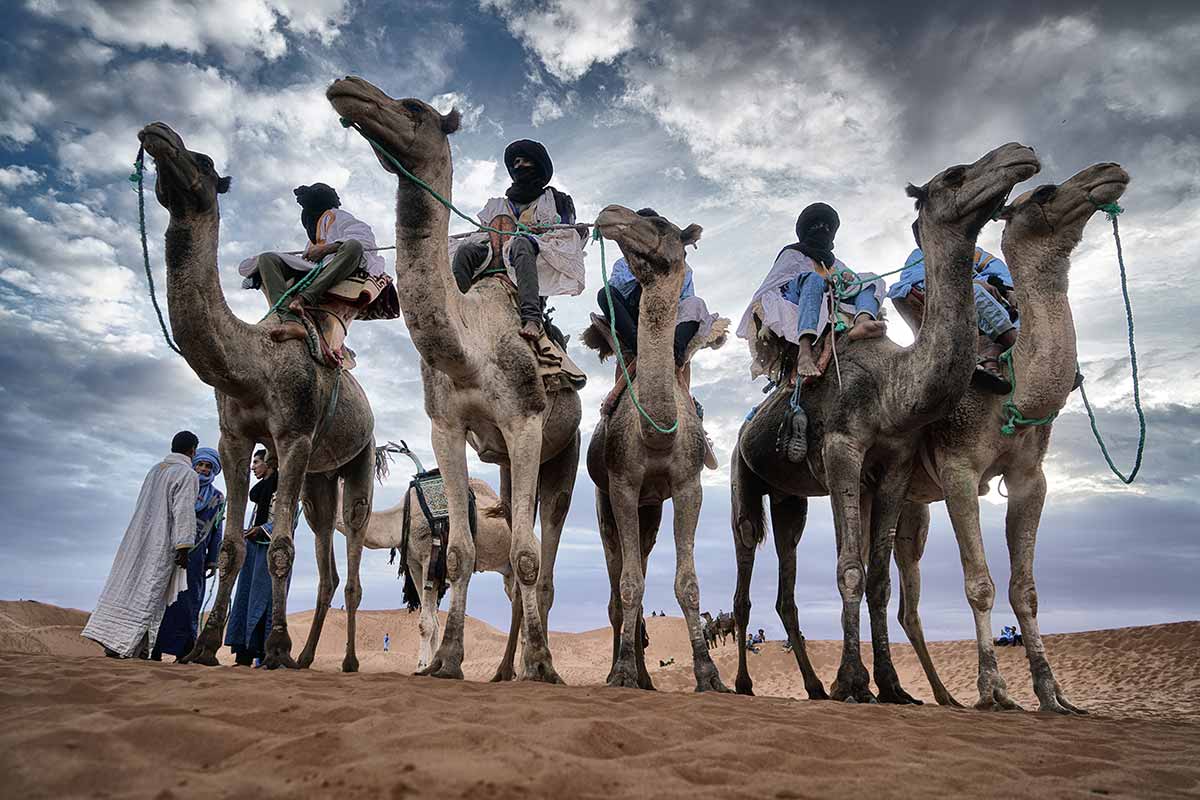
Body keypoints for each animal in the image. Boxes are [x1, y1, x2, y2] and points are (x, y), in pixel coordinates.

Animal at [135, 122, 374, 671]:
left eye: (203, 161)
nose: (159, 132)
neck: (253, 366)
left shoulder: (294, 435)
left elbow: (280, 547)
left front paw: (276, 646)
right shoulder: (234, 439)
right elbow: (230, 550)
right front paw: (203, 647)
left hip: (359, 460)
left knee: (352, 556)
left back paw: (345, 661)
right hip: (319, 479)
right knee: (327, 566)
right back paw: (307, 658)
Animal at [328, 76, 580, 681]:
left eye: (412, 108)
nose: (348, 87)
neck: (469, 348)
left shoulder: (525, 421)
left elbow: (527, 556)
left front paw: (544, 666)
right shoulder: (445, 426)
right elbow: (463, 554)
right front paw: (447, 661)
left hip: (565, 450)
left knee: (543, 556)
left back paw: (535, 665)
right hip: (509, 468)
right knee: (513, 556)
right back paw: (506, 668)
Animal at [583, 203, 724, 690]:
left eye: (660, 224)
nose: (610, 213)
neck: (658, 432)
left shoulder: (686, 486)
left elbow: (688, 584)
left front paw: (709, 675)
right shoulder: (622, 485)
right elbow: (629, 585)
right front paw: (622, 671)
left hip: (653, 509)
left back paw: (646, 677)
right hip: (606, 500)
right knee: (617, 585)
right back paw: (626, 670)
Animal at [724, 142, 1036, 700]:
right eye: (955, 175)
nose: (1019, 154)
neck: (893, 388)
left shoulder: (895, 463)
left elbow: (878, 580)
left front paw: (889, 685)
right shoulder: (841, 451)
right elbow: (849, 569)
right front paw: (853, 679)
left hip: (789, 498)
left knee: (786, 580)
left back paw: (814, 686)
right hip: (745, 479)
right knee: (743, 567)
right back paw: (742, 683)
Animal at [897, 163, 1128, 714]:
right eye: (1045, 193)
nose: (1108, 172)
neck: (1012, 386)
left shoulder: (1031, 477)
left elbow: (1026, 590)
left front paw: (1053, 694)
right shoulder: (958, 469)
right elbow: (979, 583)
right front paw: (993, 690)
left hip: (912, 509)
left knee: (905, 600)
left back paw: (939, 695)